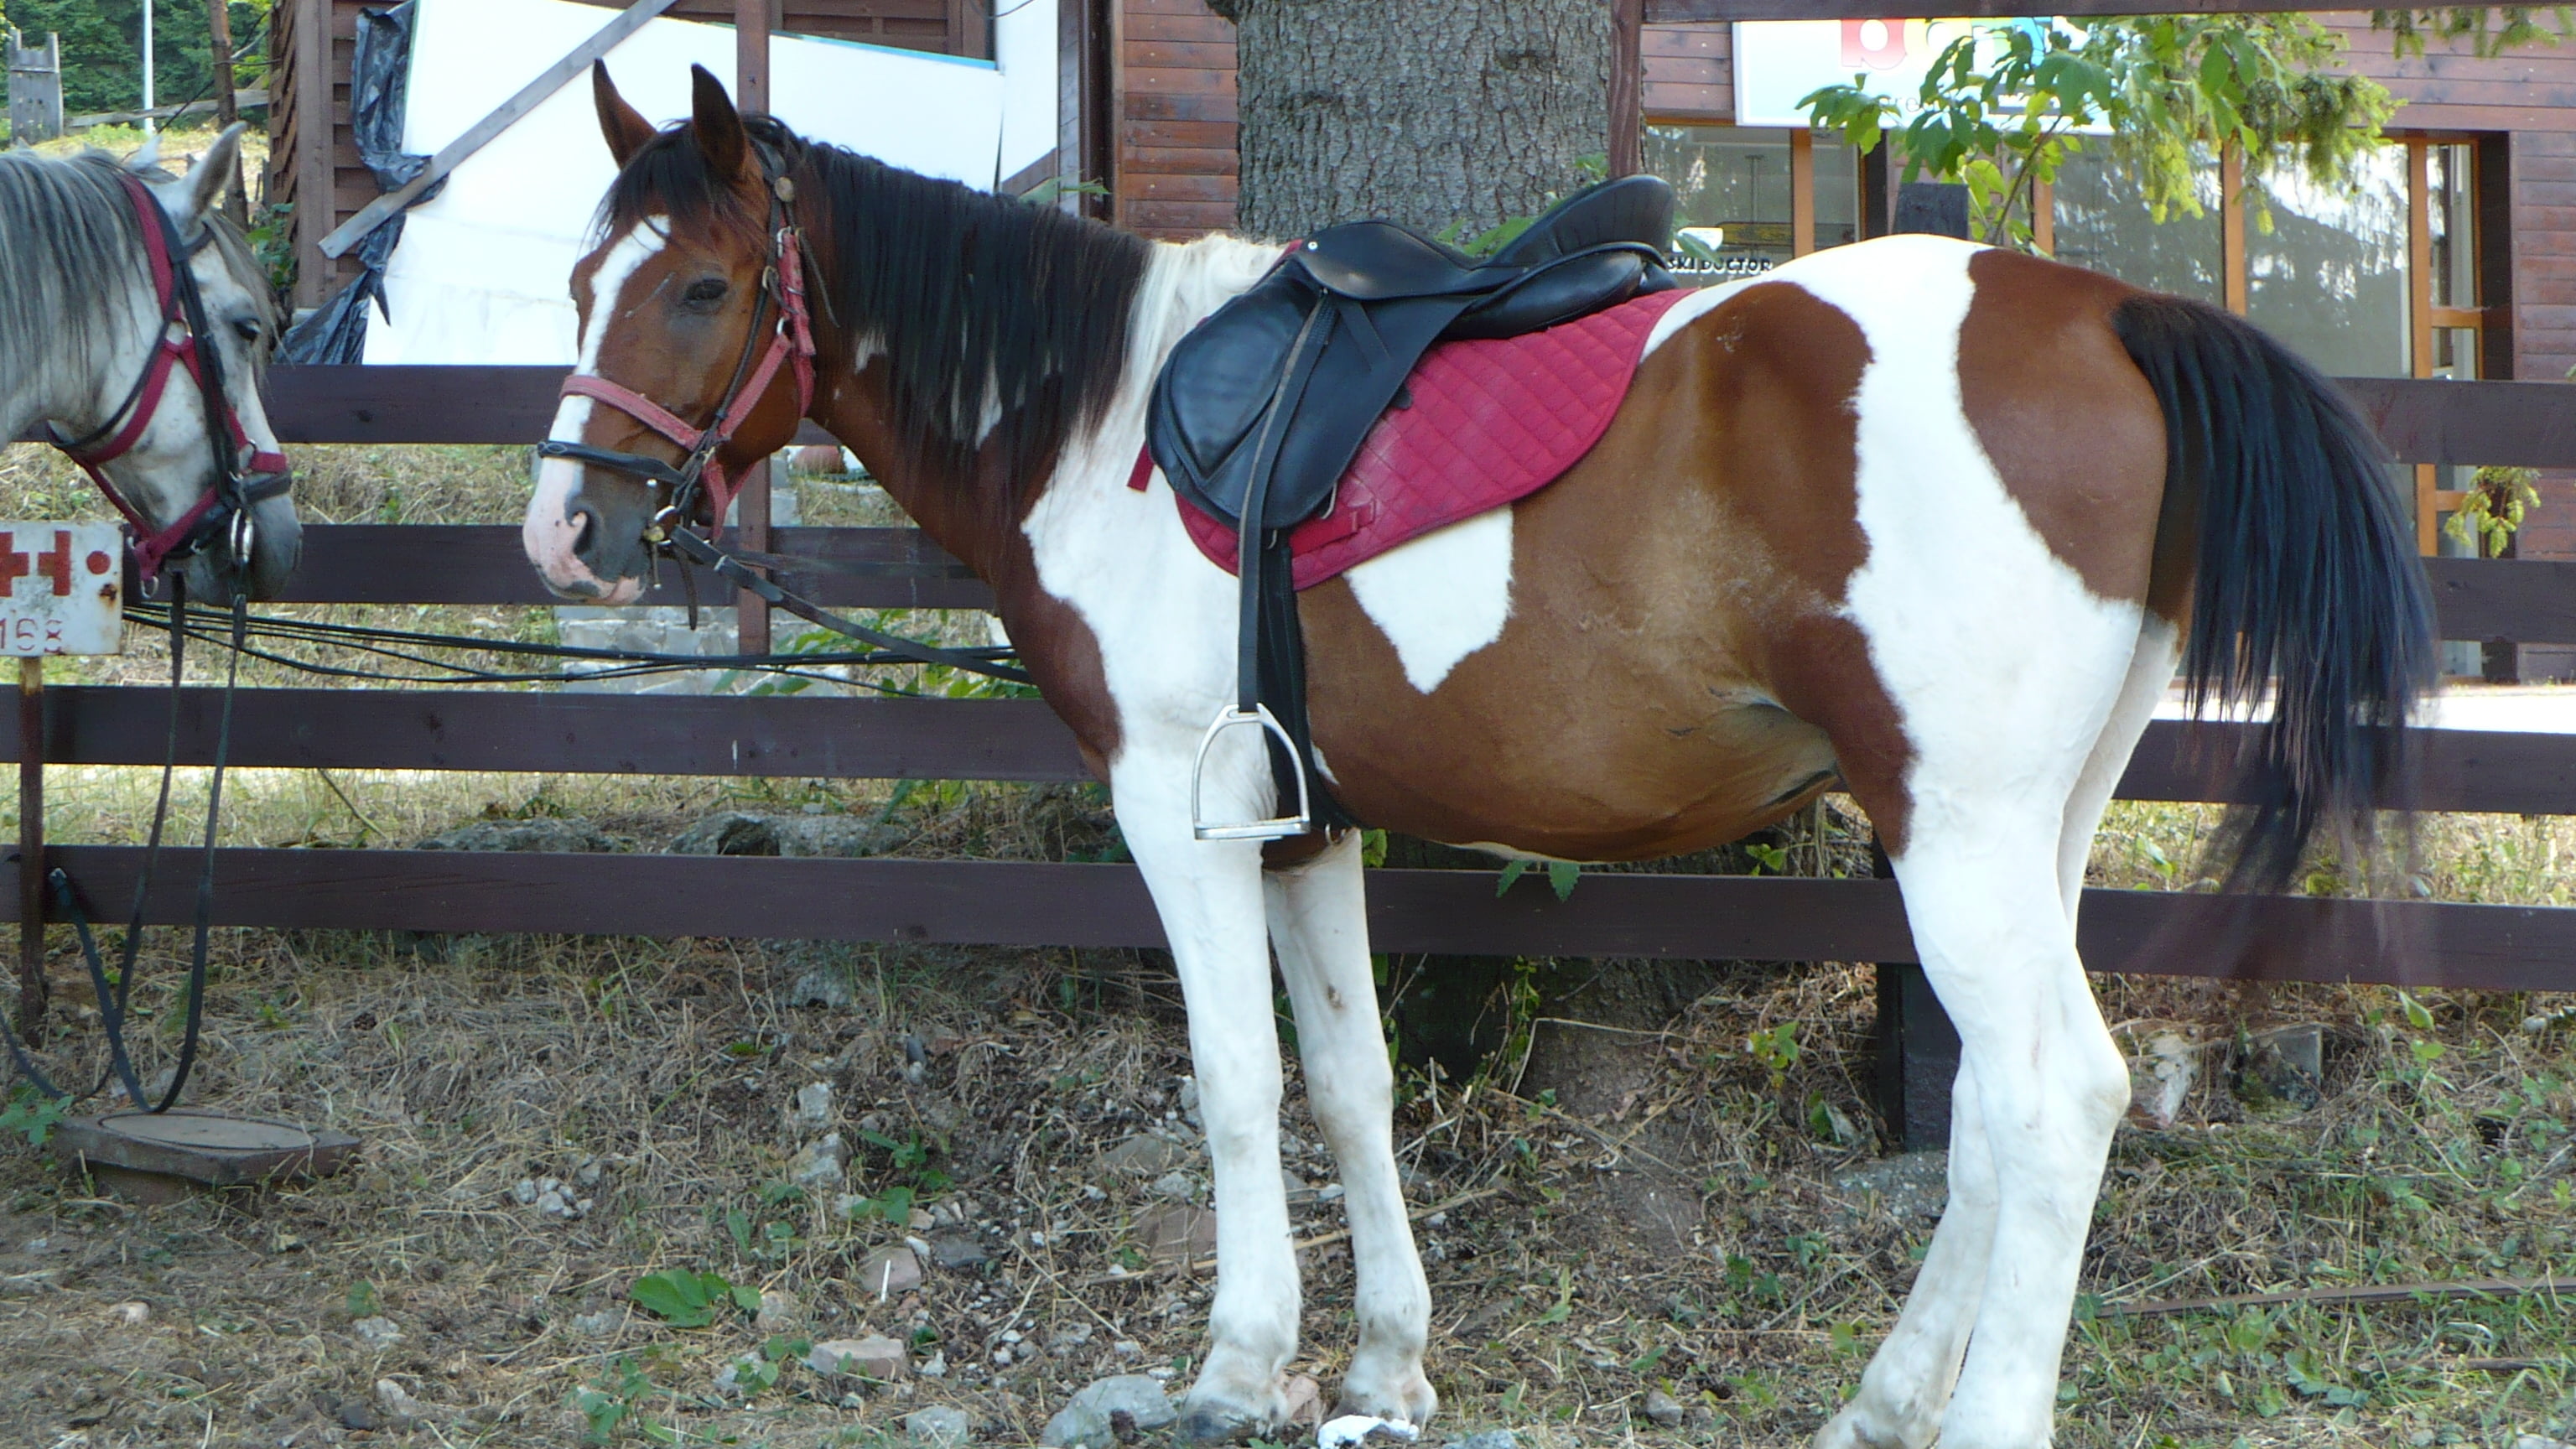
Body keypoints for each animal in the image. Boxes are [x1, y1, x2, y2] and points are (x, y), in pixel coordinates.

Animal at [525, 66, 2433, 1449]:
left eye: (701, 285)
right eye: (578, 277)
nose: (569, 531)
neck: (1109, 418)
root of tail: (2111, 314)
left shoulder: (1177, 807)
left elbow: (1236, 1084)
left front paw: (1233, 1366)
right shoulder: (1302, 824)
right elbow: (1350, 1083)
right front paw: (1381, 1366)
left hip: (1954, 837)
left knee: (2057, 1099)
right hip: (2024, 835)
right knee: (1990, 1112)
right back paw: (1879, 1403)